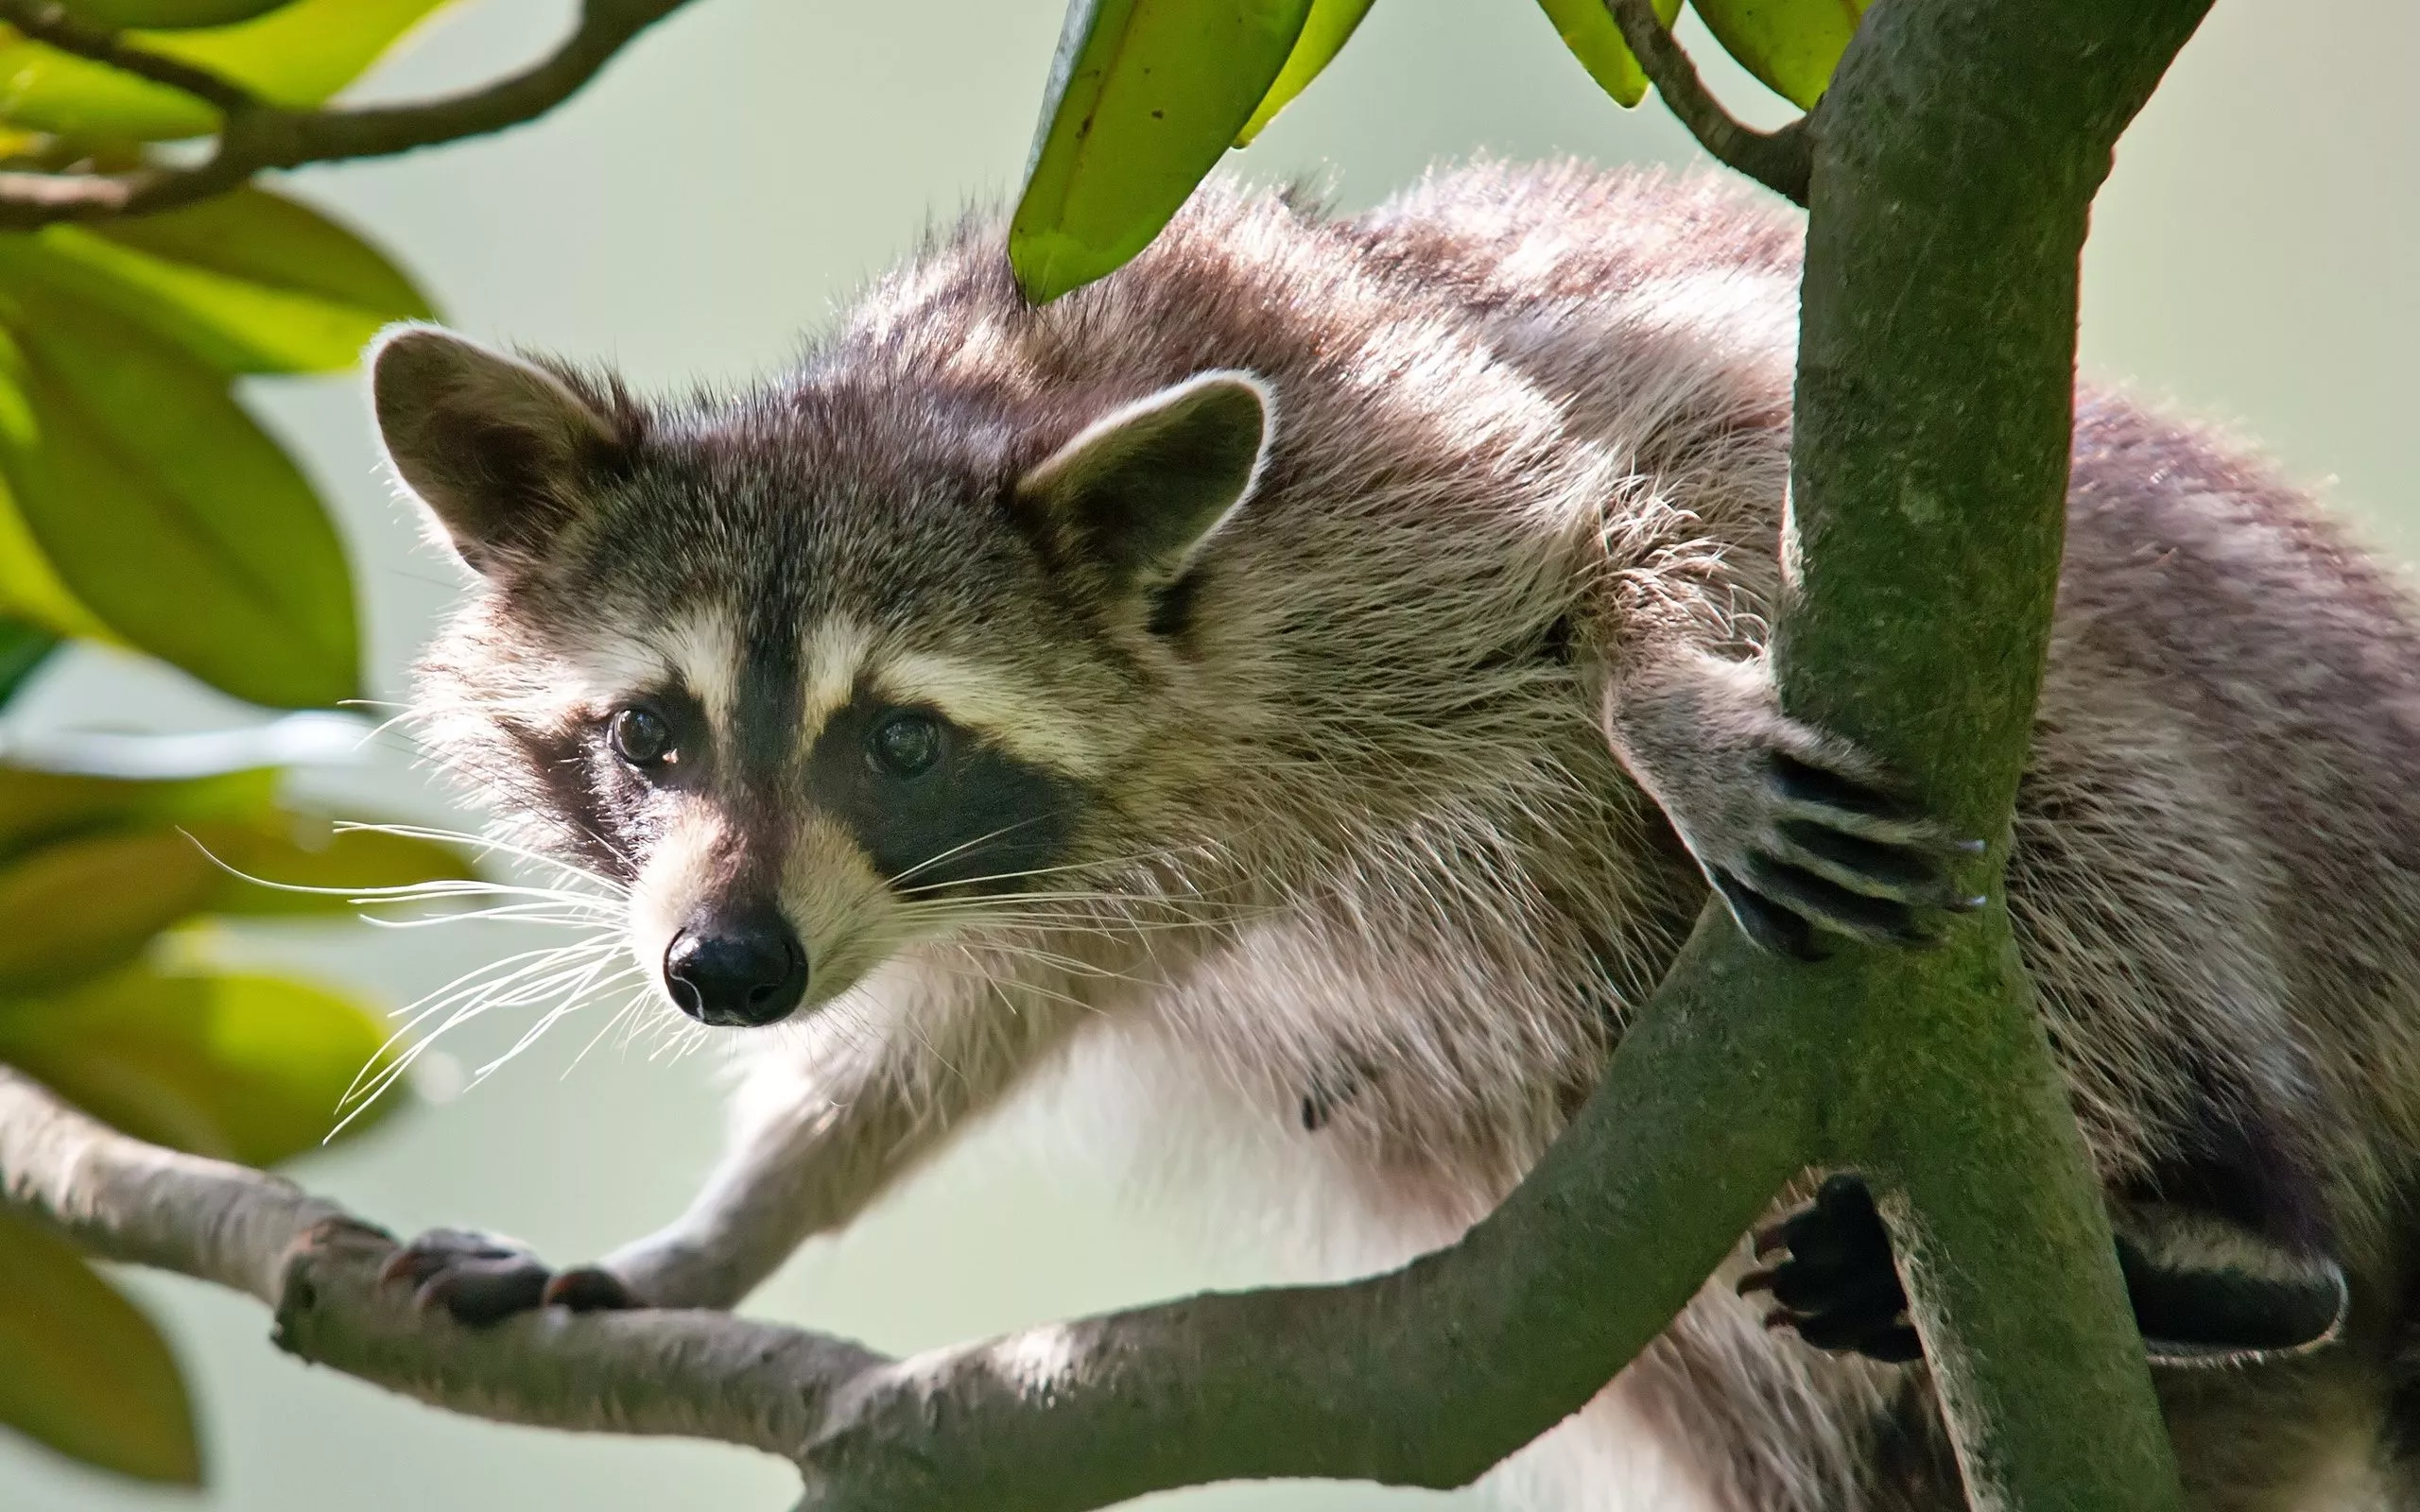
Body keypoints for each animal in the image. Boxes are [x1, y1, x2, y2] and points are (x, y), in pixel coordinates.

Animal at [368, 161, 2420, 1511]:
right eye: (652, 732)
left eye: (903, 740)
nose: (723, 968)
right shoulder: (1078, 892)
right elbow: (939, 1046)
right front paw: (713, 1235)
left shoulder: (1379, 445)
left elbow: (1629, 509)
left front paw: (1661, 699)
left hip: (2243, 747)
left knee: (2092, 797)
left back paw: (2235, 1223)